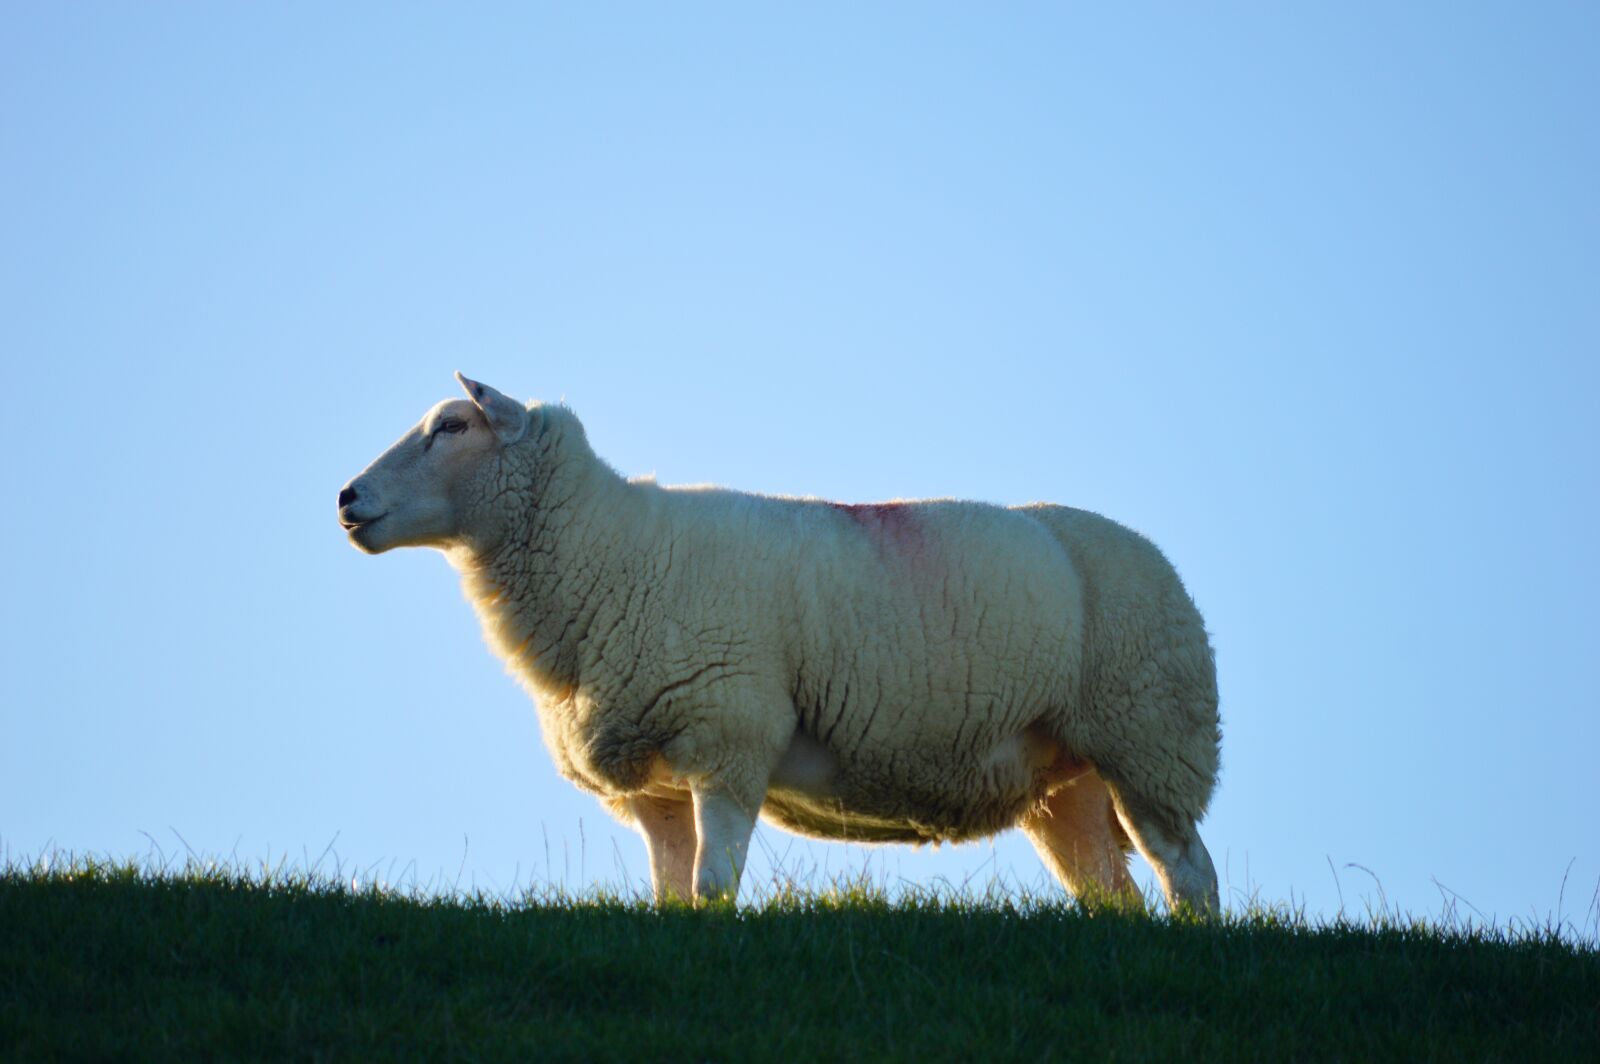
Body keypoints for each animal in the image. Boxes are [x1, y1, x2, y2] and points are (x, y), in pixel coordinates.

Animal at [337, 374, 1223, 912]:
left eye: (452, 426)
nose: (347, 497)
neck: (608, 551)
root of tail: (1164, 564)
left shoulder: (727, 738)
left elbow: (713, 884)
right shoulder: (657, 783)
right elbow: (673, 893)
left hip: (1150, 742)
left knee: (1191, 872)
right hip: (1068, 785)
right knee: (1114, 894)